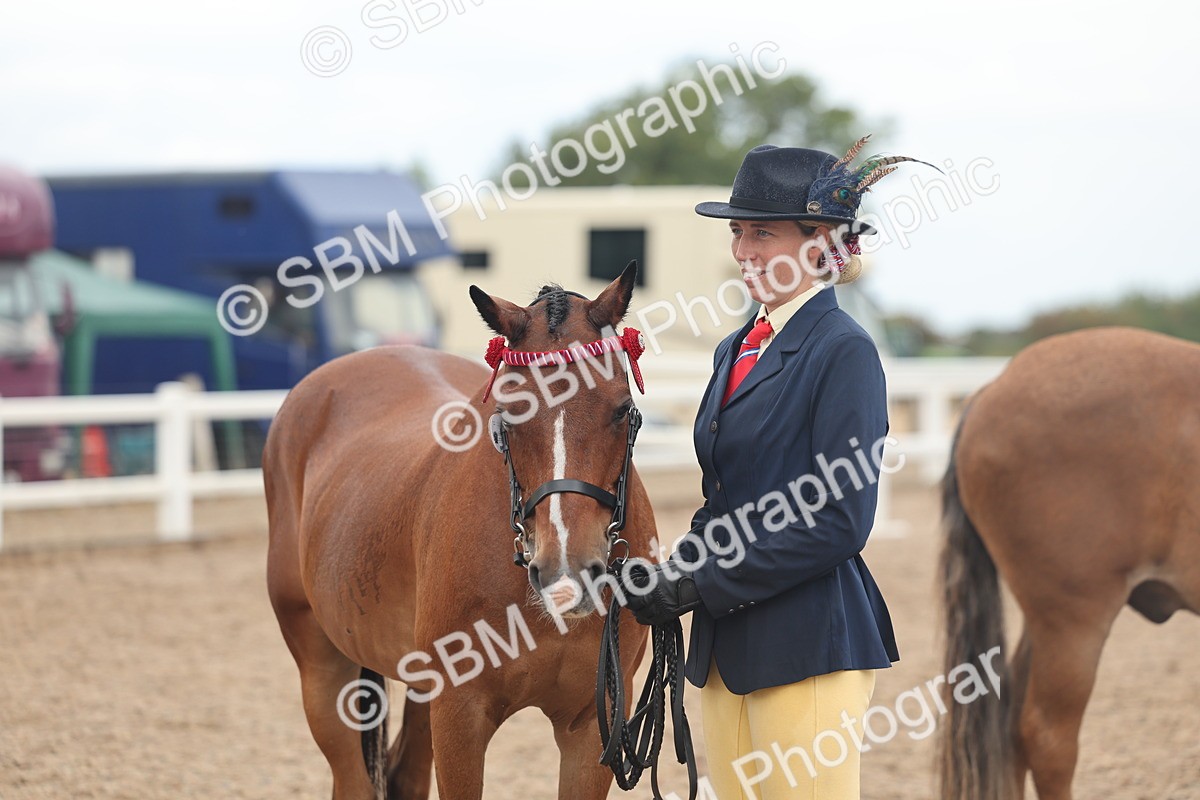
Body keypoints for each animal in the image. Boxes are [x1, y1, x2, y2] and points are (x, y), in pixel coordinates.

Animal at [264, 263, 657, 800]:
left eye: (620, 408)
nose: (566, 572)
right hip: (323, 670)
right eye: (510, 413)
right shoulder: (459, 715)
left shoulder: (592, 723)